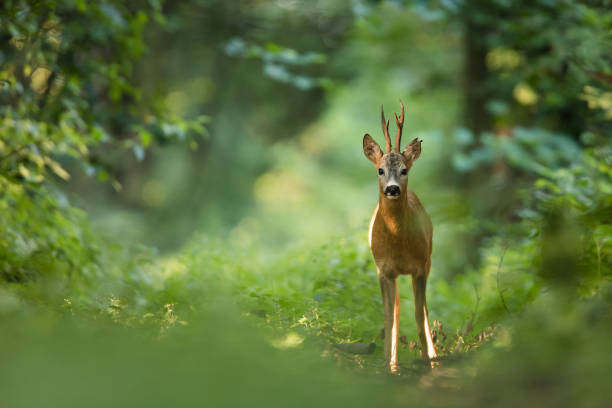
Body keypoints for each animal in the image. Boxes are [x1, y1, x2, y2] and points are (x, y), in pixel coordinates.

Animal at [364, 101, 436, 372]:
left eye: (404, 170)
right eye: (380, 170)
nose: (392, 188)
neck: (398, 245)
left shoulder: (419, 267)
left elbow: (418, 313)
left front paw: (428, 360)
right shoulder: (384, 269)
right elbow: (388, 316)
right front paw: (387, 364)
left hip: (429, 261)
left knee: (423, 310)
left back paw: (433, 355)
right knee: (395, 309)